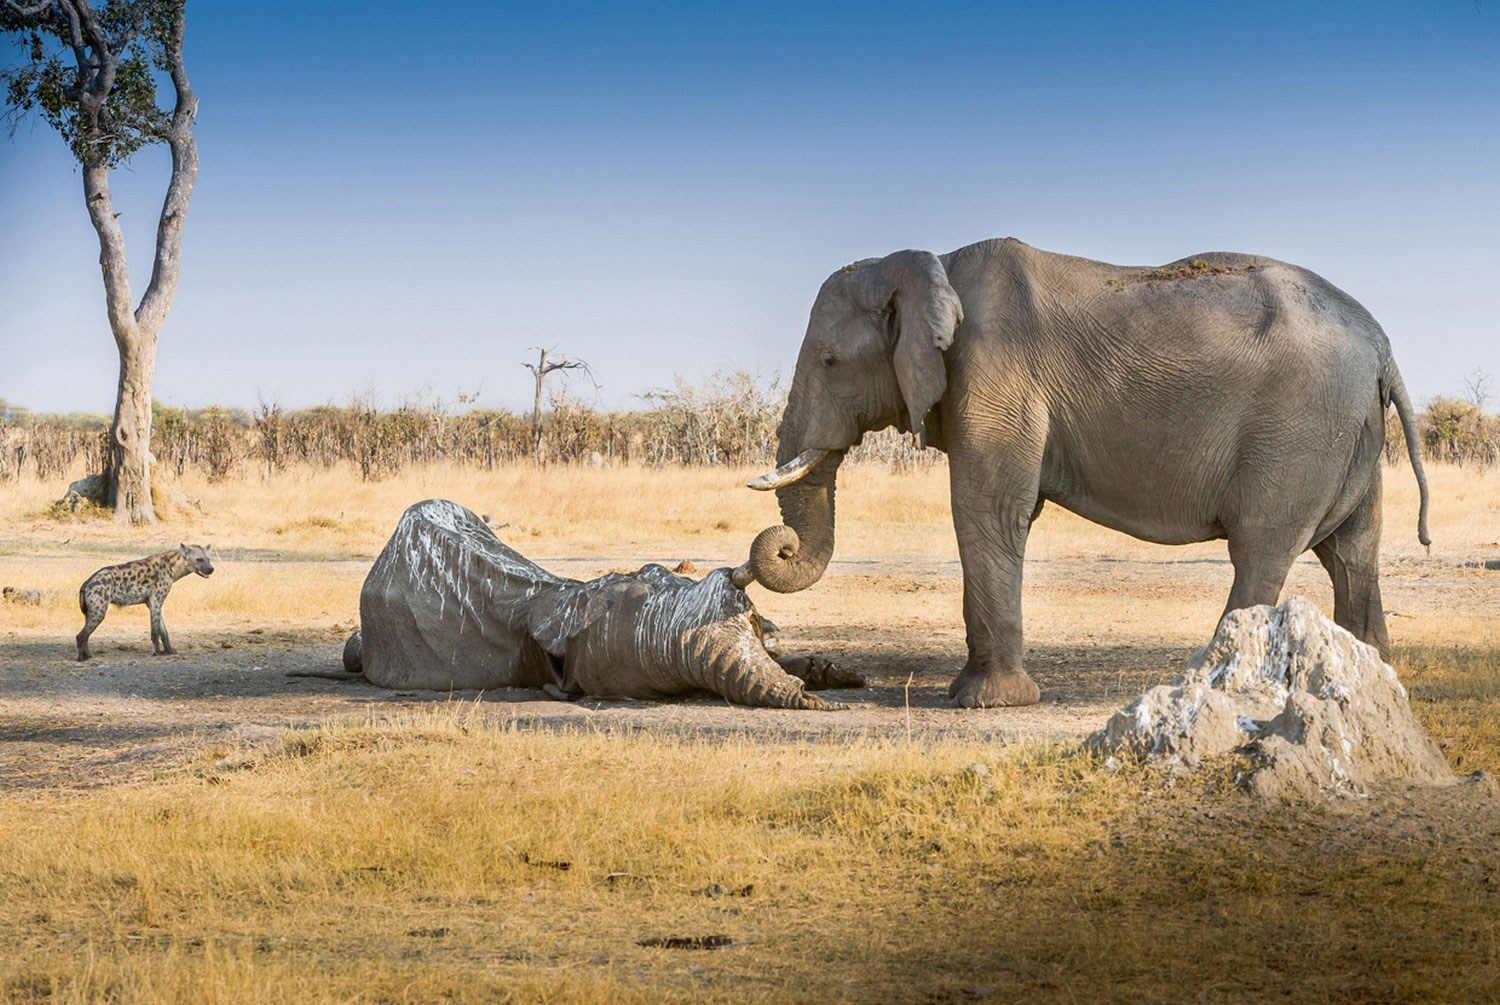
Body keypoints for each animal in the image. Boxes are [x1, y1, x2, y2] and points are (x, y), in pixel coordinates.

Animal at [744, 237, 1434, 714]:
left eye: (830, 362)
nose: (778, 550)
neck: (931, 261)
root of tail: (1382, 344)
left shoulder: (994, 374)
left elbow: (989, 509)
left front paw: (984, 703)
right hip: (1349, 434)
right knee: (1353, 553)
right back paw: (1370, 685)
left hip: (1299, 429)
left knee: (1262, 549)